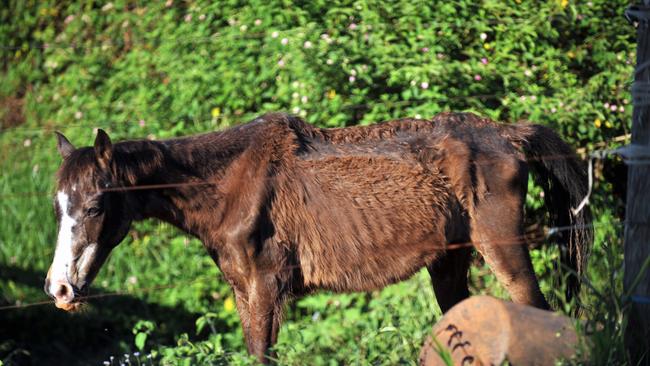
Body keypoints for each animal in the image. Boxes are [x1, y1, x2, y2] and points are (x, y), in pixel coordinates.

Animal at [44, 111, 592, 364]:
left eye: (95, 206)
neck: (229, 183)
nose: (59, 289)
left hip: (502, 249)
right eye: (57, 206)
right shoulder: (244, 292)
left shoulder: (267, 289)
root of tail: (508, 133)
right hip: (449, 263)